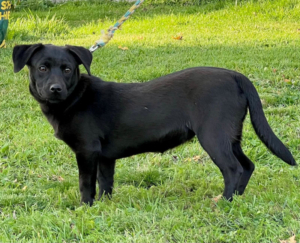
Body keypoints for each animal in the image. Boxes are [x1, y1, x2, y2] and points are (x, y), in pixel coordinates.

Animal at [13, 43, 296, 205]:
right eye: (42, 68)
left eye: (68, 69)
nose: (55, 89)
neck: (75, 98)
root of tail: (236, 75)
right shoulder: (104, 157)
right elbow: (105, 184)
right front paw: (104, 207)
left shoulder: (86, 151)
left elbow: (86, 184)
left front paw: (85, 208)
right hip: (231, 135)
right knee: (248, 165)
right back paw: (237, 199)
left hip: (213, 136)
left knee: (233, 169)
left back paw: (224, 202)